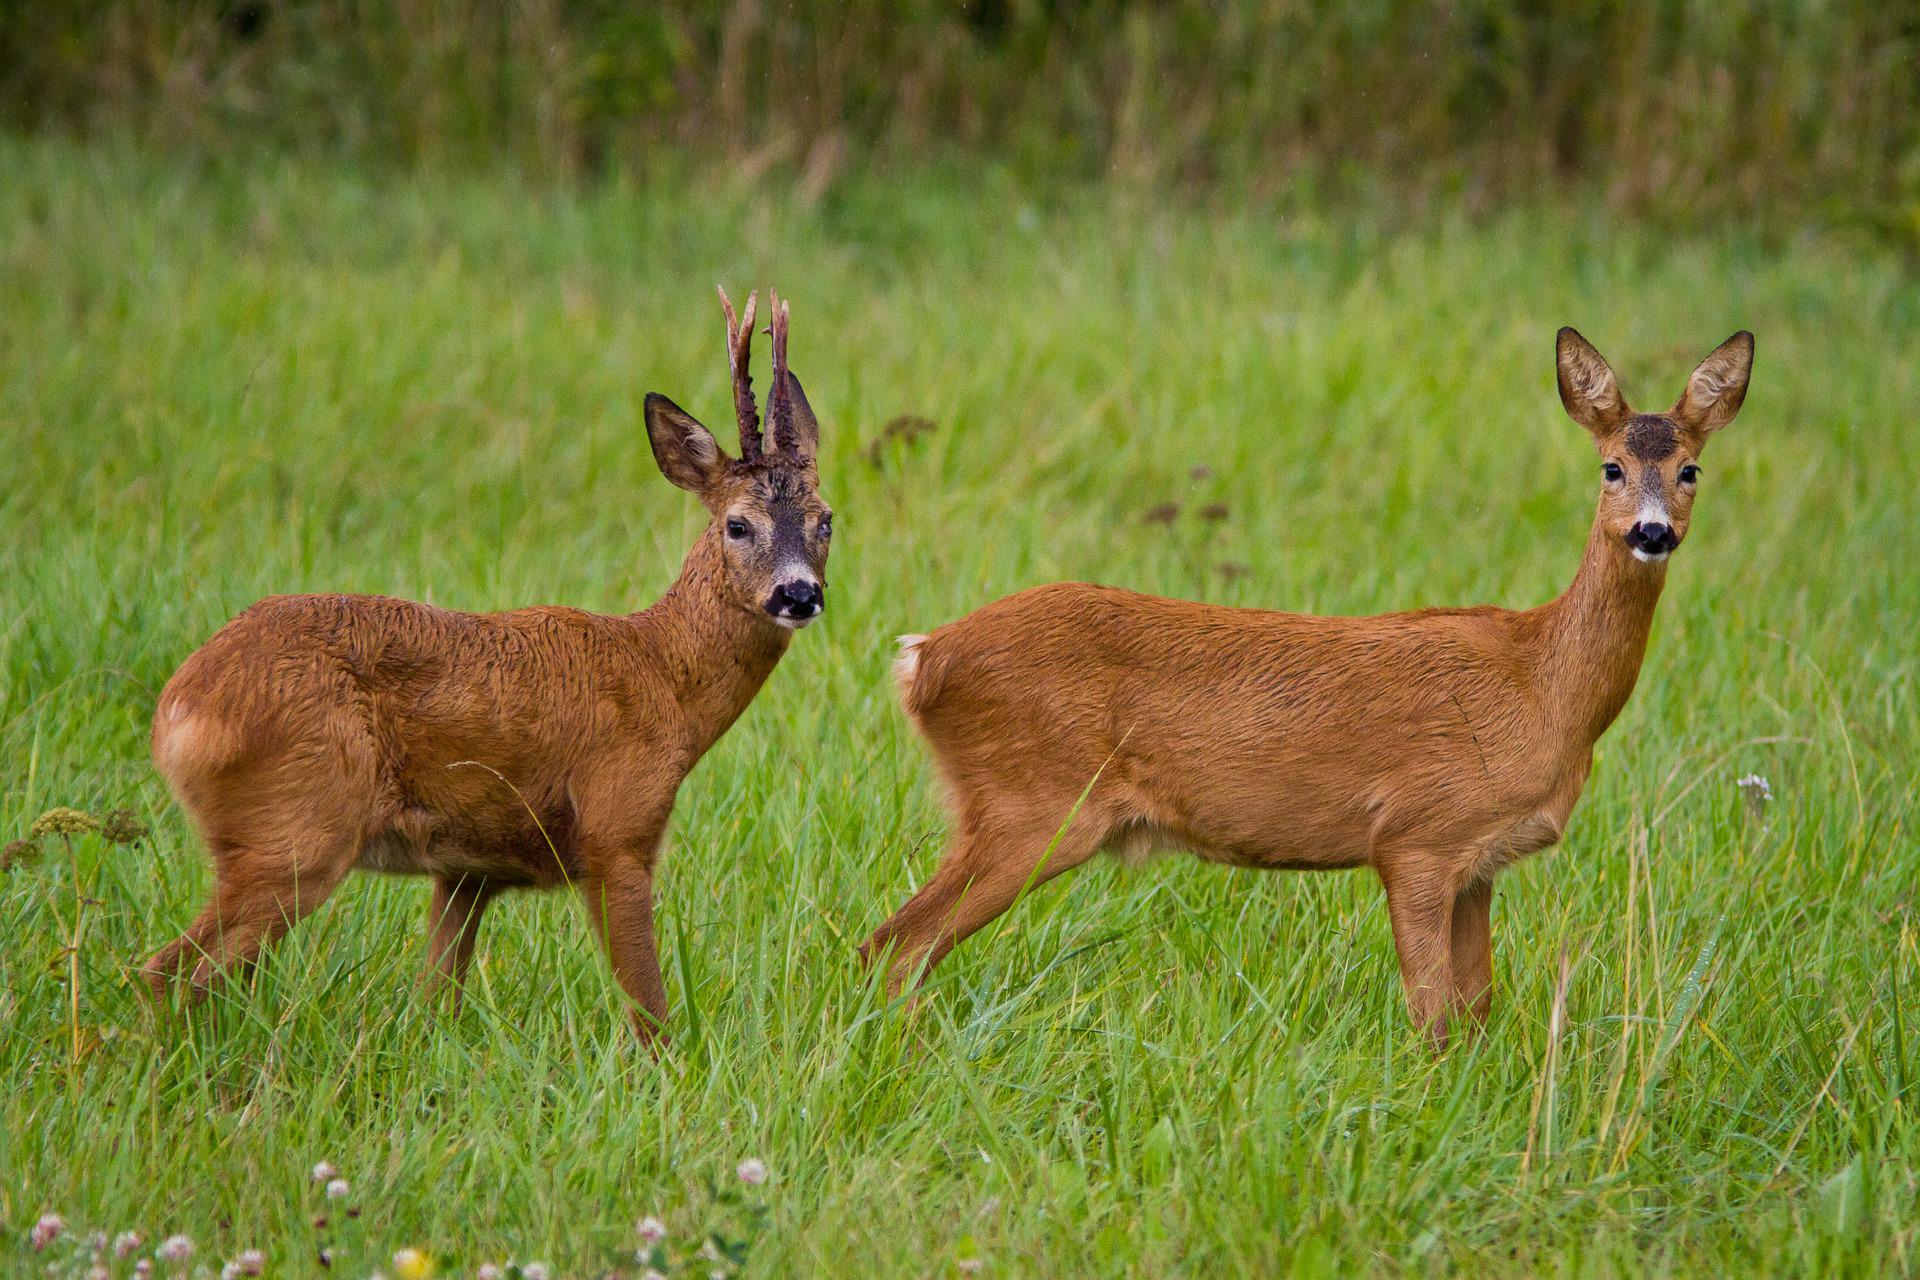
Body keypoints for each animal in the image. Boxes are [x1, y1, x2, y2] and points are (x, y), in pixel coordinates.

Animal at [142, 287, 833, 1043]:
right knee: (171, 972)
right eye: (738, 524)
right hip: (296, 827)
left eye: (825, 520)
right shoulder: (617, 830)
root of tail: (179, 710)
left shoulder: (466, 869)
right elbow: (649, 1014)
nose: (799, 594)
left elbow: (435, 1000)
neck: (662, 678)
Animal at [871, 326, 1758, 1043]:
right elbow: (1431, 1015)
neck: (1544, 684)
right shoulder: (1417, 834)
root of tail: (924, 657)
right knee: (896, 944)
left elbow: (1477, 1009)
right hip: (1030, 801)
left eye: (1691, 469)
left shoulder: (1480, 862)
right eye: (1612, 467)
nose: (1652, 533)